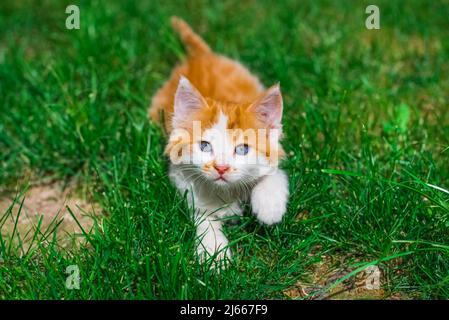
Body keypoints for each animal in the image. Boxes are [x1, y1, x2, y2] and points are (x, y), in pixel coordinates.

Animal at [149, 16, 288, 264]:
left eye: (242, 149)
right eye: (205, 146)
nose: (221, 168)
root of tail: (201, 57)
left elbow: (274, 174)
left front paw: (269, 208)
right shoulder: (184, 184)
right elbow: (203, 218)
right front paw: (215, 254)